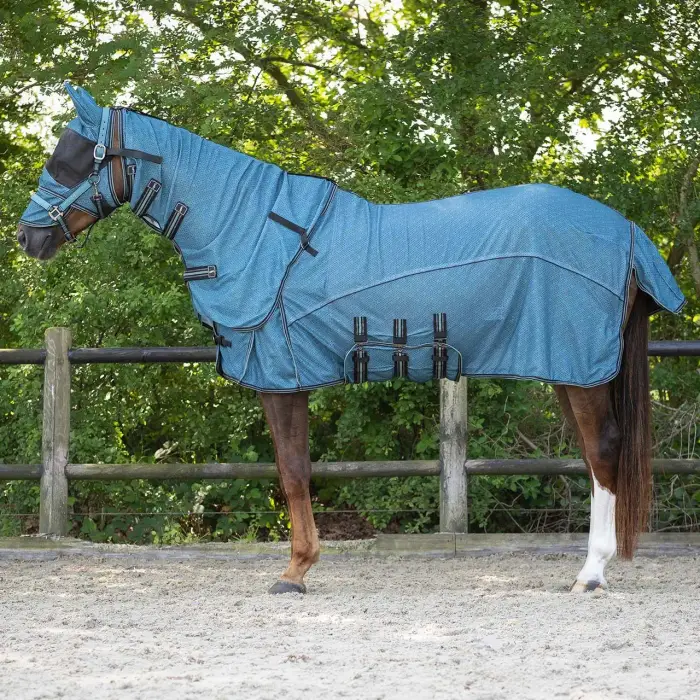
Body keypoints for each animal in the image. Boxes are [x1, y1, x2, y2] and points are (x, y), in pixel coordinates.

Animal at [17, 83, 685, 594]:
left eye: (72, 159)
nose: (28, 238)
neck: (253, 230)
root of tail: (626, 231)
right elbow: (299, 469)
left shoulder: (280, 380)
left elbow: (291, 471)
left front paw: (295, 571)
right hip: (570, 371)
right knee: (594, 458)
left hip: (581, 369)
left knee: (604, 453)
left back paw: (591, 574)